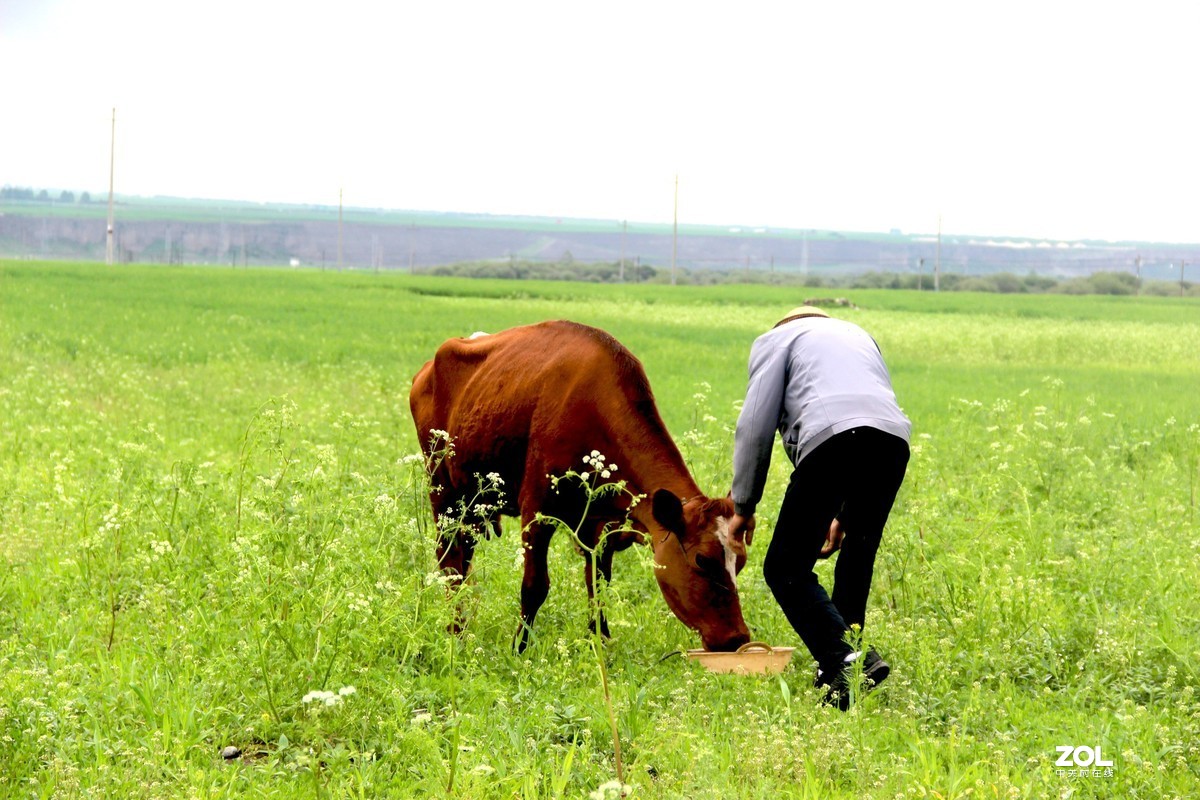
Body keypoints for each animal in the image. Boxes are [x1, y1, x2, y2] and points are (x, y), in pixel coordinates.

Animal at [410, 319, 748, 652]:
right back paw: (456, 632)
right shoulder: (537, 511)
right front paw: (519, 649)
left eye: (741, 562)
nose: (738, 638)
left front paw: (600, 643)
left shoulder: (604, 526)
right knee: (450, 563)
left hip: (472, 505)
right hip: (442, 491)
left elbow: (598, 584)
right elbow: (534, 586)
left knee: (464, 560)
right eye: (702, 560)